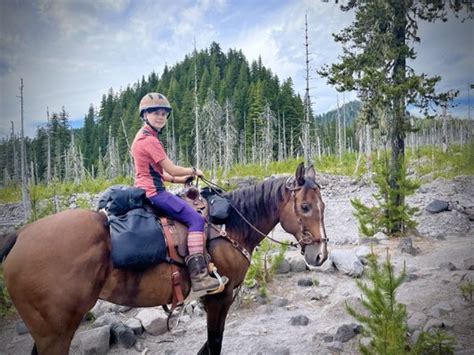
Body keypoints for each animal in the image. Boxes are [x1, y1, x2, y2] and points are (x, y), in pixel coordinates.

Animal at [0, 163, 326, 354]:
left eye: (322, 206)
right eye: (305, 207)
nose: (320, 254)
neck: (230, 225)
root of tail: (19, 236)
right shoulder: (219, 297)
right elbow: (215, 343)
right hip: (55, 332)